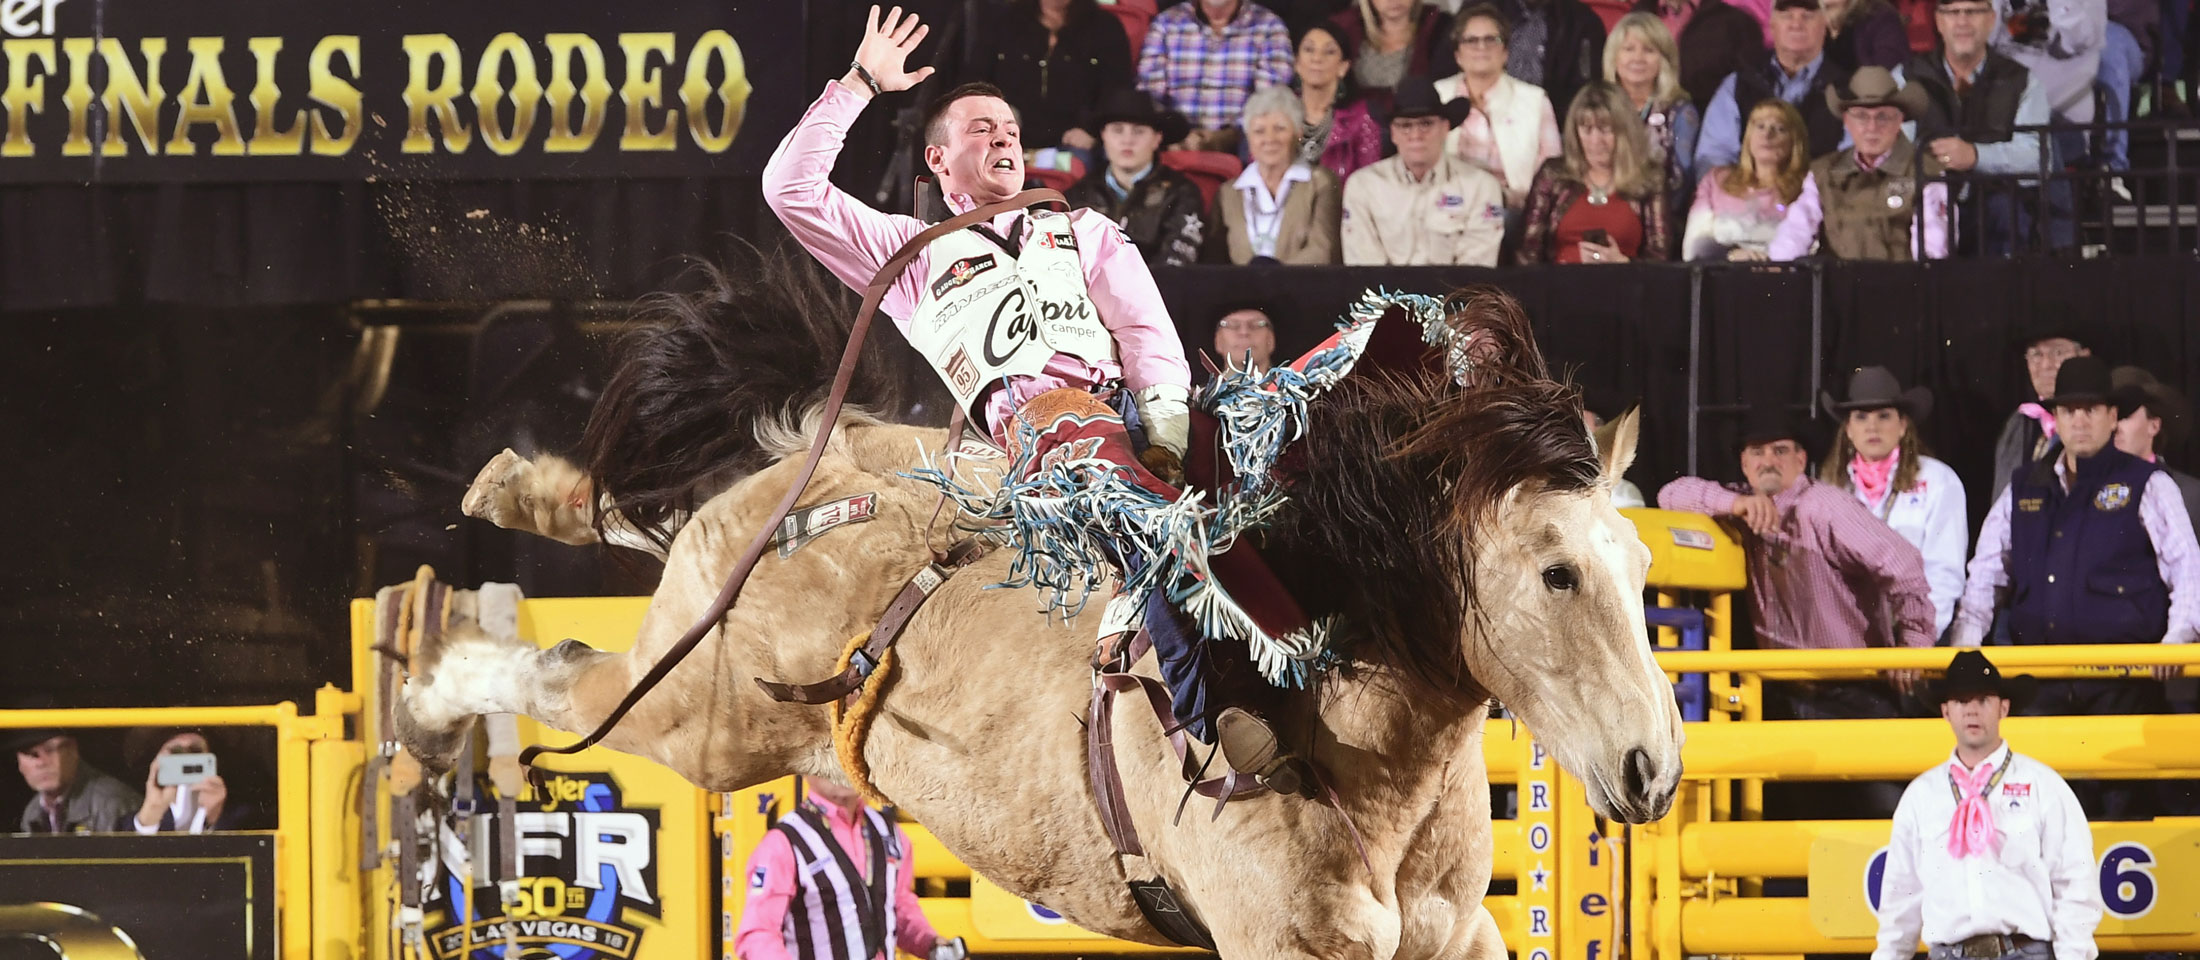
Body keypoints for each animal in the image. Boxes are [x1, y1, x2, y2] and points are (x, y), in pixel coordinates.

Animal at [396, 251, 1672, 955]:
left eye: (1641, 571)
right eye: (1557, 573)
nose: (1653, 766)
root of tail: (825, 479)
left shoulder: (1459, 937)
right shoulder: (1282, 944)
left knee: (657, 521)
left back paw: (509, 492)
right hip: (699, 721)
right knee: (571, 674)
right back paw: (432, 688)